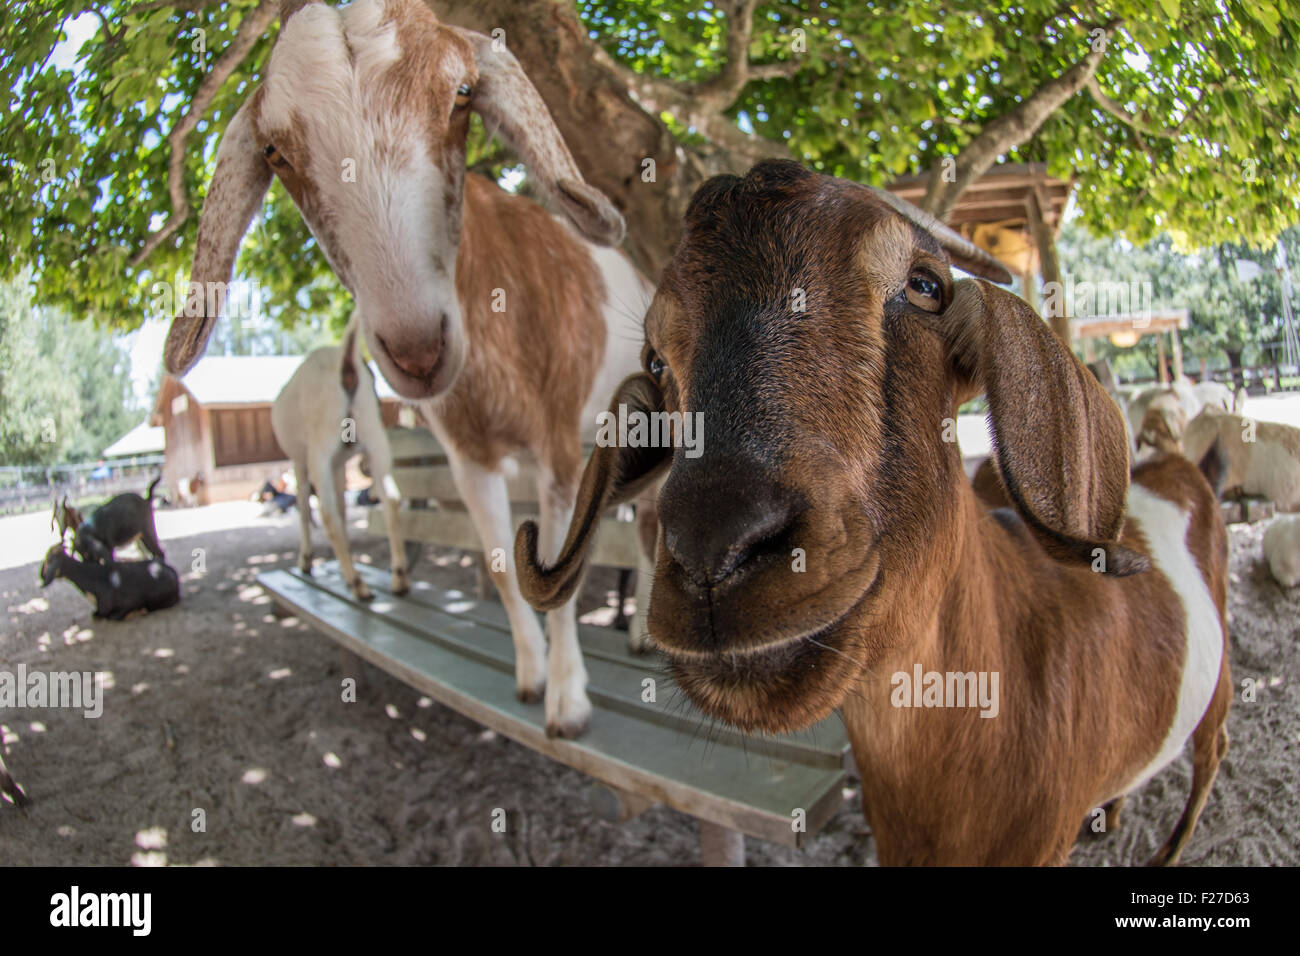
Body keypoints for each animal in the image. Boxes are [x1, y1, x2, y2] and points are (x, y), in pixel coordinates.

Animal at [266, 325, 403, 600]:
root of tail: (345, 359)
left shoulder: (300, 460)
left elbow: (306, 506)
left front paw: (306, 559)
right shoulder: (339, 464)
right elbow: (342, 508)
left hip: (320, 443)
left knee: (326, 512)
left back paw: (356, 583)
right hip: (374, 434)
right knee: (391, 499)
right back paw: (398, 578)